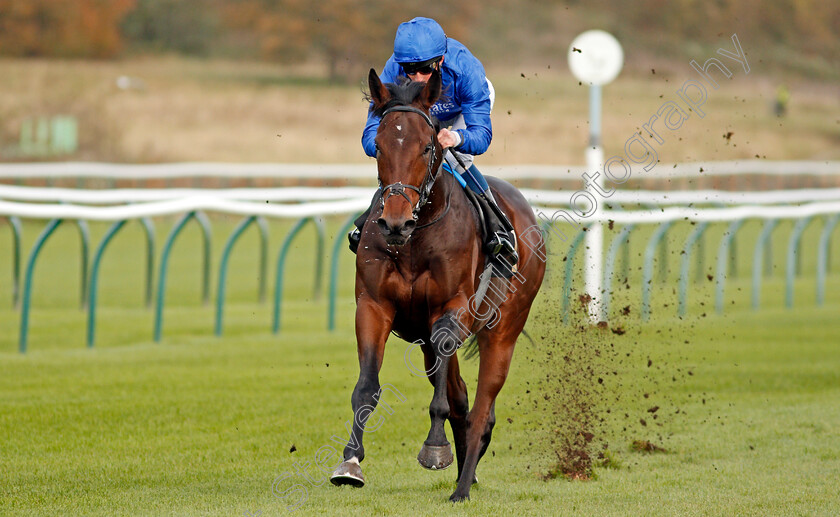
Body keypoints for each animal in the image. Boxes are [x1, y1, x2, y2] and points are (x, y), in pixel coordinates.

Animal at [332, 67, 548, 500]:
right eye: (378, 146)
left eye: (428, 148)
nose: (395, 222)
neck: (417, 238)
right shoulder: (374, 305)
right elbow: (366, 387)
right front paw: (350, 463)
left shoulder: (453, 308)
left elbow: (443, 402)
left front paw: (435, 449)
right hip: (426, 339)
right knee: (461, 395)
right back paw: (467, 467)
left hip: (503, 330)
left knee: (482, 406)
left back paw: (462, 486)